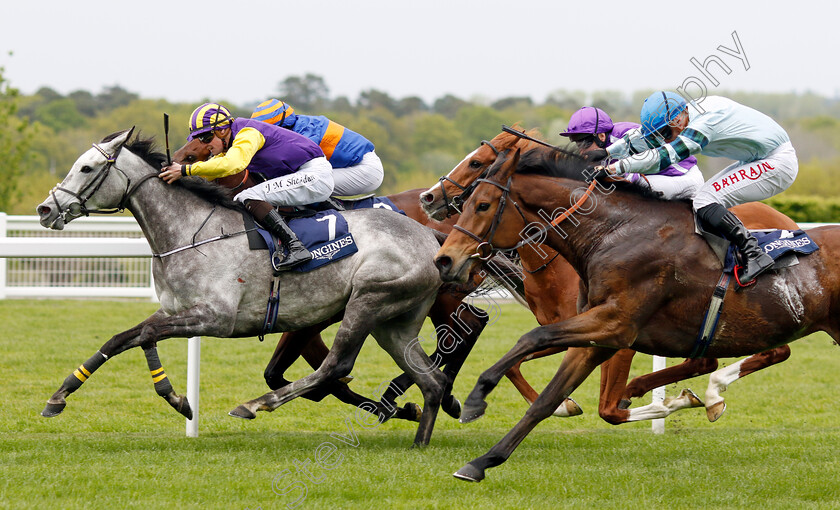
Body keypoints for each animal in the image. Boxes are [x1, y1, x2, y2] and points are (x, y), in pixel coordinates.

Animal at [35, 130, 452, 446]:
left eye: (86, 167)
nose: (45, 209)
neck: (191, 232)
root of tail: (431, 237)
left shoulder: (216, 318)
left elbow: (148, 336)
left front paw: (177, 398)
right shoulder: (174, 309)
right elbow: (120, 339)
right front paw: (59, 396)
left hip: (369, 301)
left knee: (337, 365)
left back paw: (256, 404)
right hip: (394, 322)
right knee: (432, 379)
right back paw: (420, 439)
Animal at [420, 126, 800, 422]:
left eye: (476, 162)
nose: (428, 197)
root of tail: (786, 219)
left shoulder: (614, 330)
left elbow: (607, 406)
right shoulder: (570, 328)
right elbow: (516, 363)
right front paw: (564, 405)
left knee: (771, 352)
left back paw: (708, 394)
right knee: (713, 358)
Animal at [434, 146, 840, 478]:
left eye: (482, 204)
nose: (444, 259)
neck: (613, 233)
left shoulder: (616, 327)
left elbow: (534, 339)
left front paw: (476, 398)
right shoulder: (596, 337)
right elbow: (547, 396)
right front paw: (482, 461)